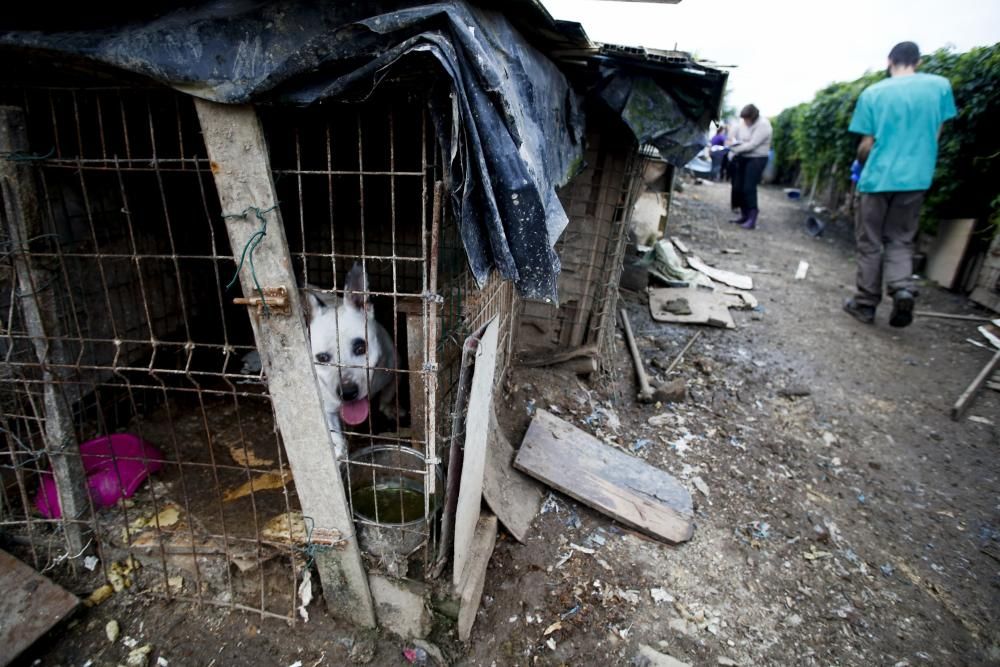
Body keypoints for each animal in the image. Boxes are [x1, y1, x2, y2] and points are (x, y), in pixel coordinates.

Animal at [304, 264, 398, 462]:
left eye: (360, 348)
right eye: (322, 358)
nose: (347, 393)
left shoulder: (394, 368)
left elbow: (388, 394)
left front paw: (389, 408)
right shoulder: (327, 406)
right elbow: (333, 430)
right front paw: (339, 447)